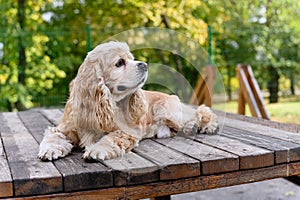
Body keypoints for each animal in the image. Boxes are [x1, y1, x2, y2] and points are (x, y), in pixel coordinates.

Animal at [38, 41, 218, 161]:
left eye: (132, 58)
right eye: (120, 63)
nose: (144, 64)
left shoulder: (127, 131)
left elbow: (110, 138)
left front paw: (97, 150)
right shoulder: (65, 127)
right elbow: (53, 136)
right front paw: (50, 149)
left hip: (165, 110)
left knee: (200, 112)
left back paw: (205, 126)